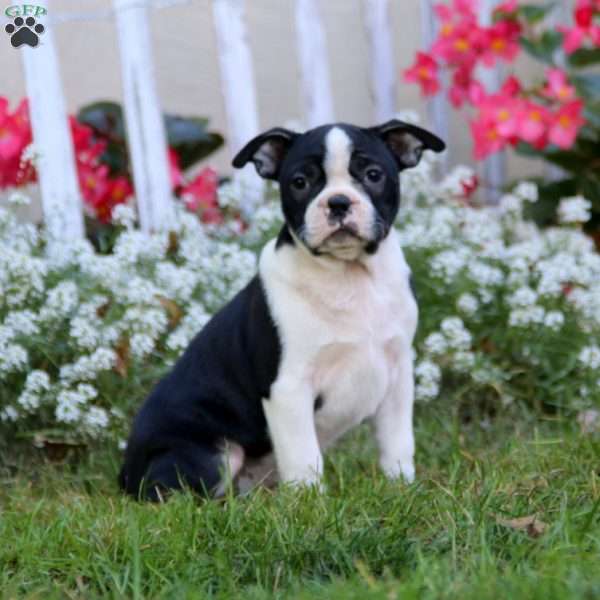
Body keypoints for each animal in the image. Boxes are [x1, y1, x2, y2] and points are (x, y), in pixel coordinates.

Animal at [118, 119, 446, 500]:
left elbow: (397, 441)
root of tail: (125, 473)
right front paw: (311, 504)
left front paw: (401, 487)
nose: (338, 202)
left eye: (373, 175)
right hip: (211, 454)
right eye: (300, 182)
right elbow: (303, 455)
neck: (348, 276)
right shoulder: (289, 388)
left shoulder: (397, 375)